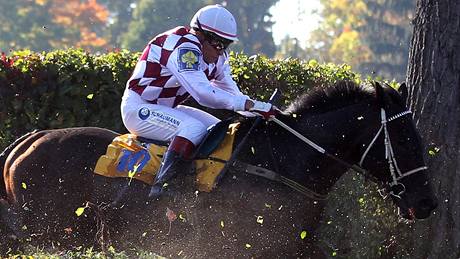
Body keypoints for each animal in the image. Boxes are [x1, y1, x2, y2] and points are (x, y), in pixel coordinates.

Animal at [0, 80, 438, 258]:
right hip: (54, 232)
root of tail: (31, 139)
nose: (427, 203)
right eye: (404, 139)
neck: (279, 164)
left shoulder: (296, 245)